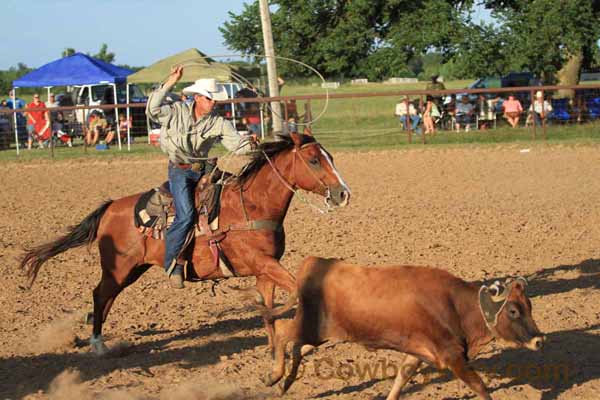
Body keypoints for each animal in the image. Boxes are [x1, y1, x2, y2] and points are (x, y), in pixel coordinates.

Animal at [21, 134, 352, 354]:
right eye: (313, 160)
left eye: (331, 158)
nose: (343, 194)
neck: (253, 206)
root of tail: (112, 206)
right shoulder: (263, 263)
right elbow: (299, 290)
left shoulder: (264, 270)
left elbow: (269, 307)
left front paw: (276, 349)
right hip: (118, 268)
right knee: (100, 295)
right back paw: (97, 344)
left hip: (131, 270)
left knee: (106, 296)